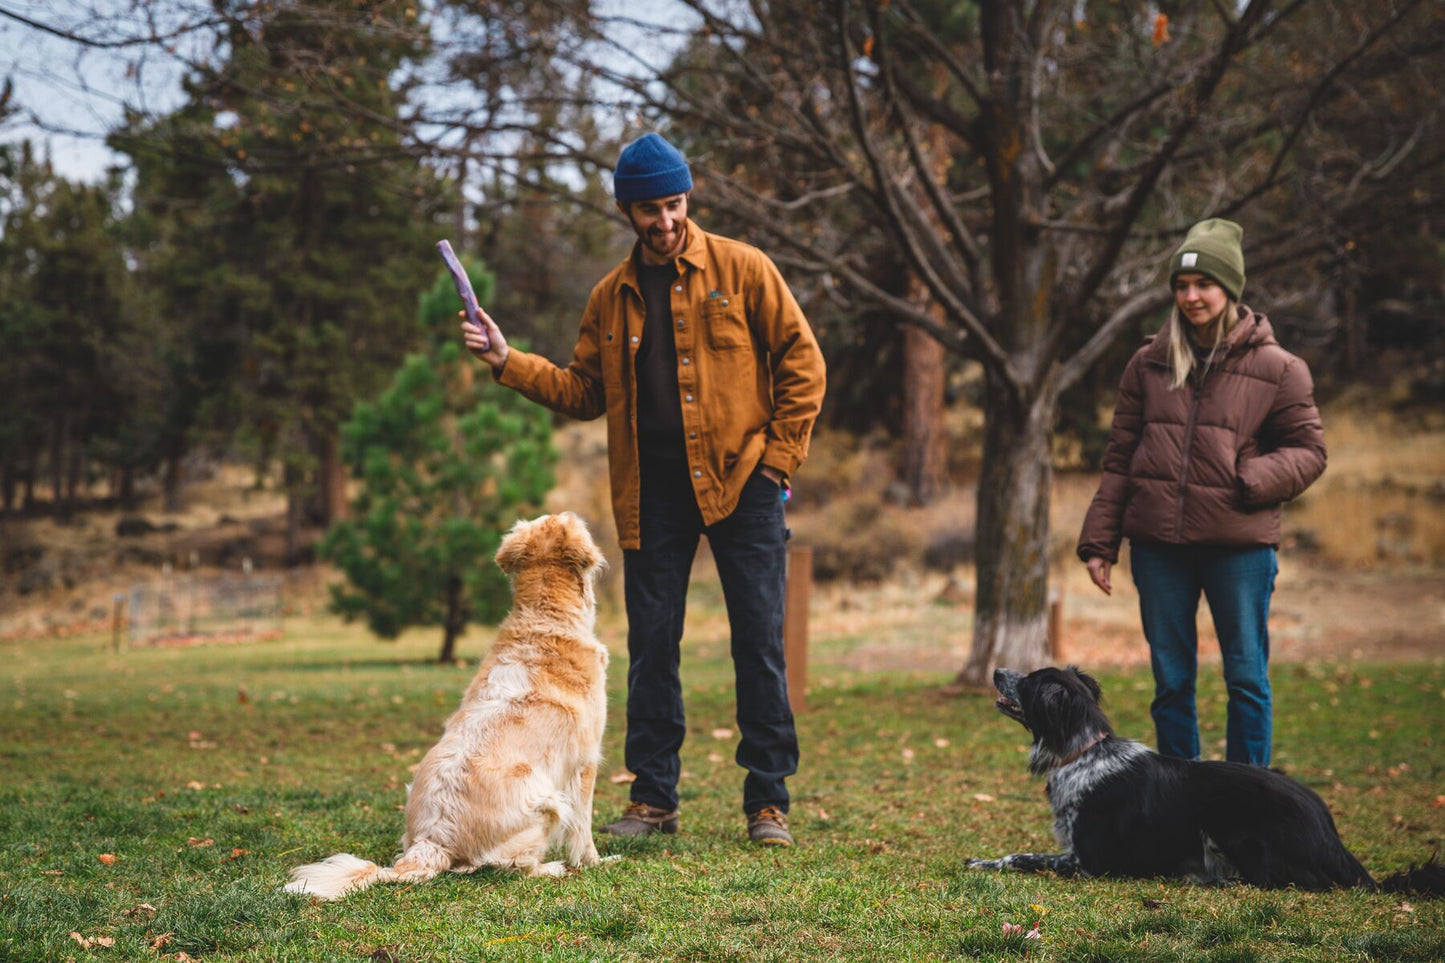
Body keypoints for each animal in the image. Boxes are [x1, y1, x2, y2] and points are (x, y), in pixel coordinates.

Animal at [965, 665, 1439, 890]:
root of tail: (1332, 838)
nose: (997, 671)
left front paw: (984, 860)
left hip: (1226, 822)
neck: (1085, 752)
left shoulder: (1090, 863)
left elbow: (1022, 857)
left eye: (1028, 681)